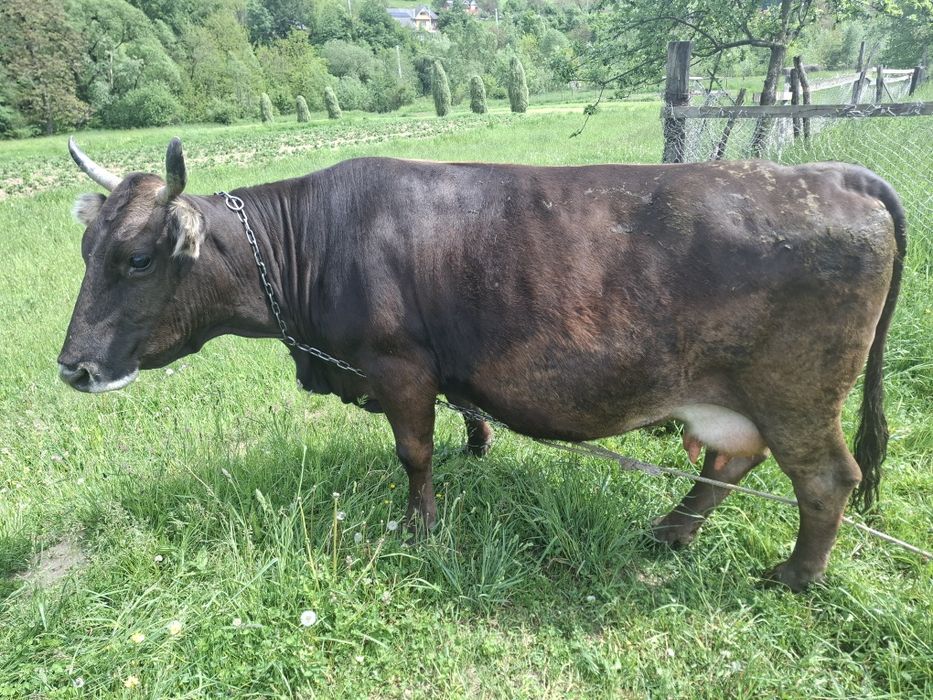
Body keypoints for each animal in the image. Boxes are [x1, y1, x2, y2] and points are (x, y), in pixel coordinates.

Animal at [60, 137, 905, 591]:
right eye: (85, 248)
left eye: (139, 258)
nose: (73, 368)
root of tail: (829, 173)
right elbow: (465, 414)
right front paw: (477, 447)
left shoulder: (398, 366)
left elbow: (413, 451)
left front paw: (419, 525)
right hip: (739, 396)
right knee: (730, 462)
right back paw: (668, 531)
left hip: (795, 389)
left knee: (824, 479)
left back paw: (793, 576)